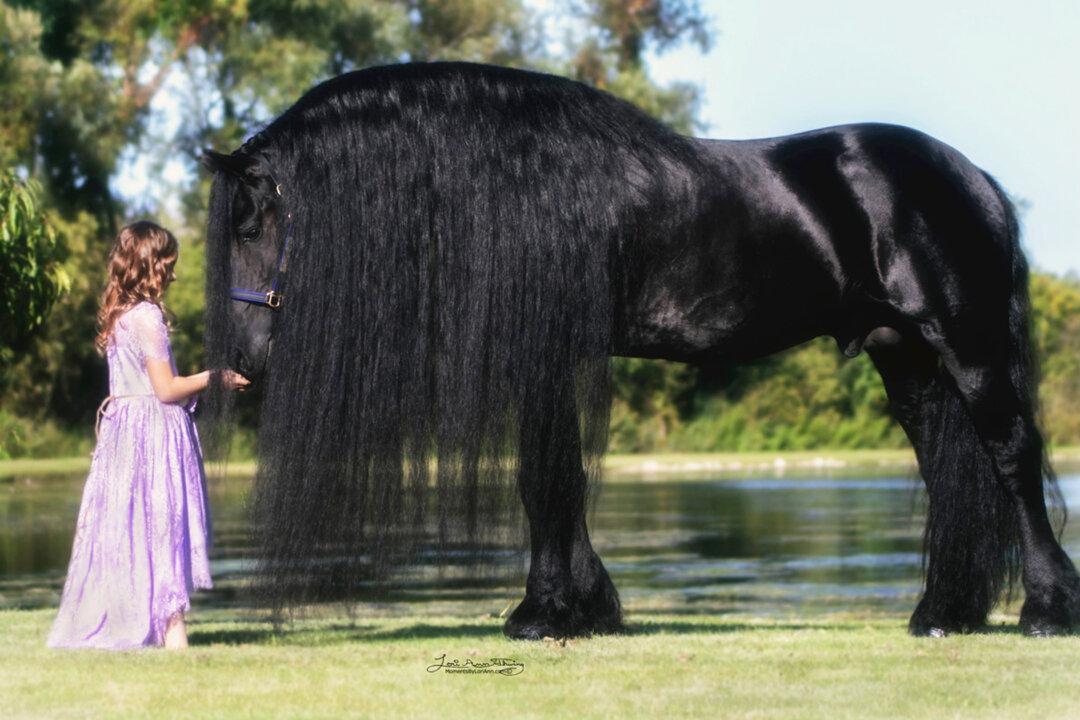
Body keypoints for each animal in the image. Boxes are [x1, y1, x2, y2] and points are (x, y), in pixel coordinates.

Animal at [202, 61, 1080, 639]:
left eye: (251, 223)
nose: (243, 361)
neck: (518, 183)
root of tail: (972, 178)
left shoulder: (546, 355)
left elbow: (547, 478)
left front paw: (544, 613)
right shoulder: (547, 362)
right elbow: (552, 478)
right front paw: (583, 606)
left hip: (964, 345)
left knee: (1011, 455)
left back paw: (1044, 610)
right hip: (907, 359)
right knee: (946, 466)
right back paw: (941, 614)